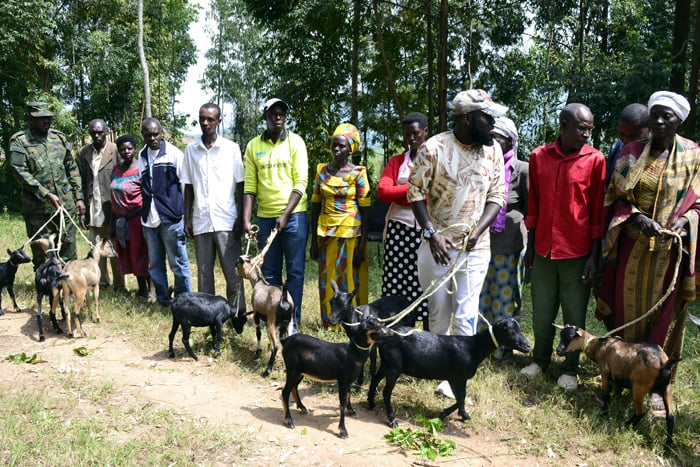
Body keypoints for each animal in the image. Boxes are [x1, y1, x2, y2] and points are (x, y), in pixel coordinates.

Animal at [284, 310, 394, 438]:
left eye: (381, 322)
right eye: (373, 324)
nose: (391, 333)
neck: (353, 352)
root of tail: (285, 341)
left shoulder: (349, 381)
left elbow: (348, 395)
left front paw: (352, 411)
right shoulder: (343, 380)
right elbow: (342, 404)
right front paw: (343, 431)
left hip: (301, 371)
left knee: (294, 387)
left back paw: (302, 408)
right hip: (292, 369)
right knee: (285, 392)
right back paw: (289, 421)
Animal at [366, 320, 532, 426]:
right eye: (509, 331)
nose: (528, 346)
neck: (473, 348)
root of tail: (383, 340)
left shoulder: (463, 378)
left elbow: (462, 397)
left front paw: (463, 415)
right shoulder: (454, 377)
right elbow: (460, 398)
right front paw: (444, 413)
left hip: (386, 364)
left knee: (374, 380)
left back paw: (371, 403)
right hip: (394, 367)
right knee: (386, 392)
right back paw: (392, 420)